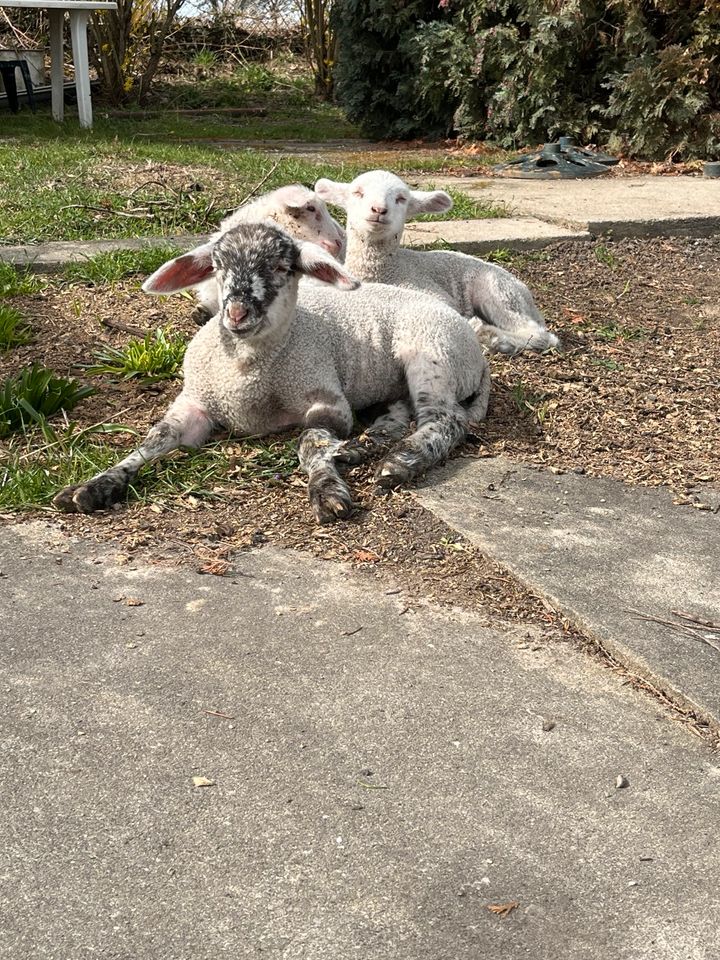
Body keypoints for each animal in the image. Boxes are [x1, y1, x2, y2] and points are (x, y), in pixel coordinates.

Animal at [54, 222, 490, 528]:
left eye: (283, 267)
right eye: (217, 267)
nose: (236, 314)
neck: (247, 374)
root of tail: (477, 351)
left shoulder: (328, 399)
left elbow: (311, 443)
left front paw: (327, 492)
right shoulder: (194, 402)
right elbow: (155, 439)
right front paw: (93, 486)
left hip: (433, 357)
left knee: (446, 420)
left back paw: (401, 462)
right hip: (397, 380)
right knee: (400, 416)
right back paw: (360, 448)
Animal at [316, 170, 564, 356]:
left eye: (401, 199)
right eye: (357, 192)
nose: (378, 210)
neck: (388, 271)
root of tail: (526, 293)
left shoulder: (434, 294)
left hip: (498, 291)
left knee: (540, 334)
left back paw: (496, 338)